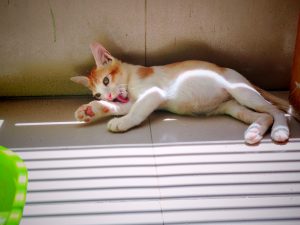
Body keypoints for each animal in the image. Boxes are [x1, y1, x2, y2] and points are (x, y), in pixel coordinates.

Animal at [70, 42, 298, 144]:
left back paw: (280, 131)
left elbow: (136, 111)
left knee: (276, 111)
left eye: (106, 80)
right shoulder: (131, 100)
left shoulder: (153, 93)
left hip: (241, 91)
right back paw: (254, 131)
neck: (133, 76)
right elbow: (122, 106)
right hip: (232, 106)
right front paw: (90, 111)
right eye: (97, 94)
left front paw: (122, 122)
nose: (106, 96)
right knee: (265, 115)